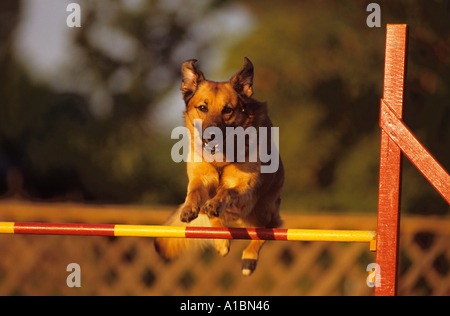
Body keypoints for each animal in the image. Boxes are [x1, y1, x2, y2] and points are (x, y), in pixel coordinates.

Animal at [153, 58, 284, 276]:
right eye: (202, 107)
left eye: (228, 110)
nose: (210, 136)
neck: (220, 159)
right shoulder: (201, 179)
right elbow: (194, 193)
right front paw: (190, 208)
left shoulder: (244, 189)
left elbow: (226, 192)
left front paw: (216, 203)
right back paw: (220, 237)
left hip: (260, 211)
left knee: (269, 229)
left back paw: (249, 258)